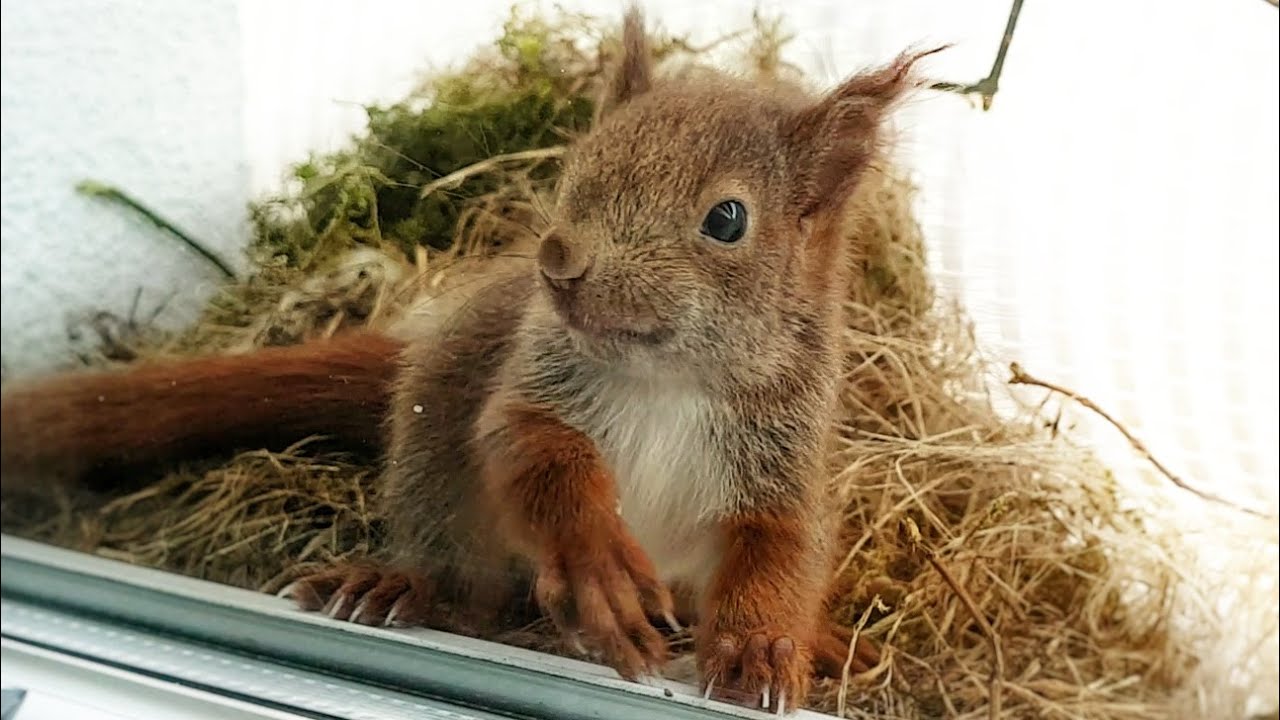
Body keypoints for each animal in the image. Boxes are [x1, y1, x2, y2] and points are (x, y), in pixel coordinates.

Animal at [1, 7, 940, 713]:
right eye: (577, 166)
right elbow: (531, 454)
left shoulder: (782, 452)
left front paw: (763, 648)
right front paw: (596, 563)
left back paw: (826, 644)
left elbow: (781, 550)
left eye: (728, 219)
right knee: (464, 582)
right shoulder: (529, 388)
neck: (666, 382)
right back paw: (400, 589)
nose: (560, 261)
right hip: (439, 470)